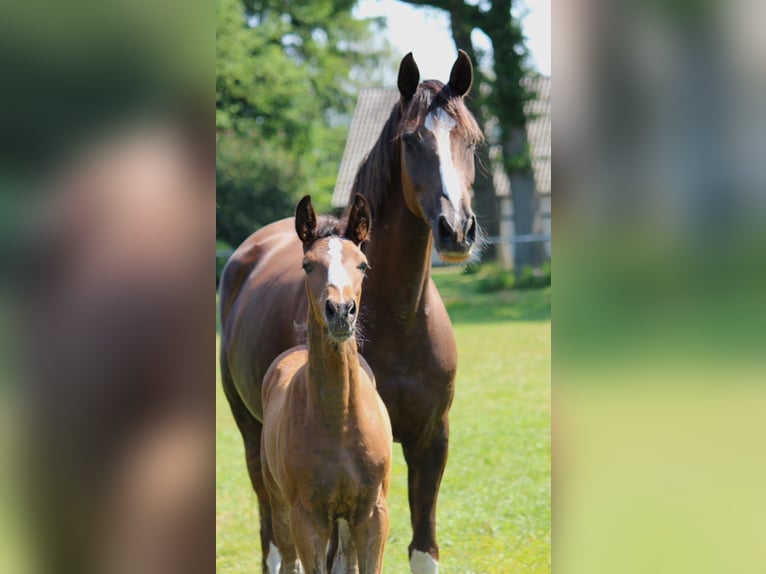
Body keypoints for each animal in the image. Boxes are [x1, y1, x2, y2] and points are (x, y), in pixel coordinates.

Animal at [262, 197, 396, 574]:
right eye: (307, 265)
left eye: (363, 265)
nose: (340, 312)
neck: (339, 421)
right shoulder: (307, 519)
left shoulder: (373, 513)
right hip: (280, 504)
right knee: (287, 559)